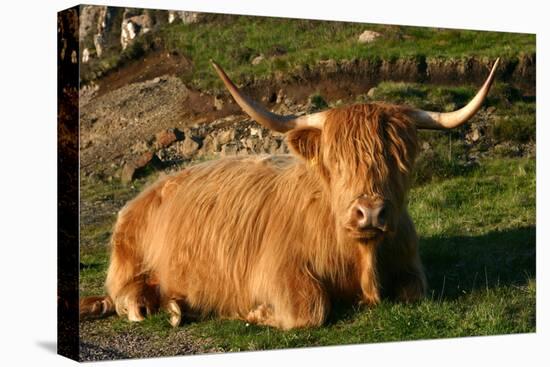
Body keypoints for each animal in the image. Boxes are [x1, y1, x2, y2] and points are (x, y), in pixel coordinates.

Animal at [81, 59, 500, 330]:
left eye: (398, 158)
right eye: (335, 160)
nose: (370, 213)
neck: (361, 259)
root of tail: (145, 193)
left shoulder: (411, 264)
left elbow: (415, 292)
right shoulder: (277, 271)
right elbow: (310, 309)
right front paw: (254, 313)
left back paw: (177, 306)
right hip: (128, 258)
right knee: (125, 296)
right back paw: (154, 307)